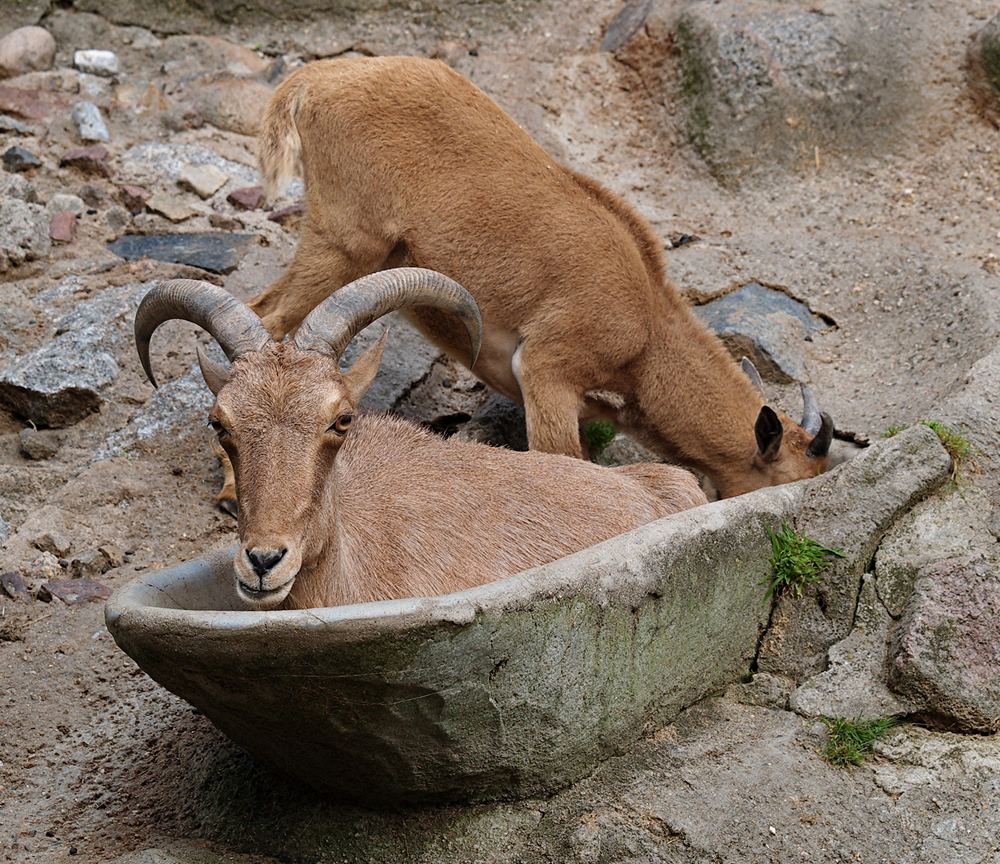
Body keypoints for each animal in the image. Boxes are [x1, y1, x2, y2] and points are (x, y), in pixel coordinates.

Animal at [229, 55, 836, 512]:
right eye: (787, 481)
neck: (647, 332)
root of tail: (318, 79)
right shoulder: (549, 369)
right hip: (345, 242)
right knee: (269, 318)